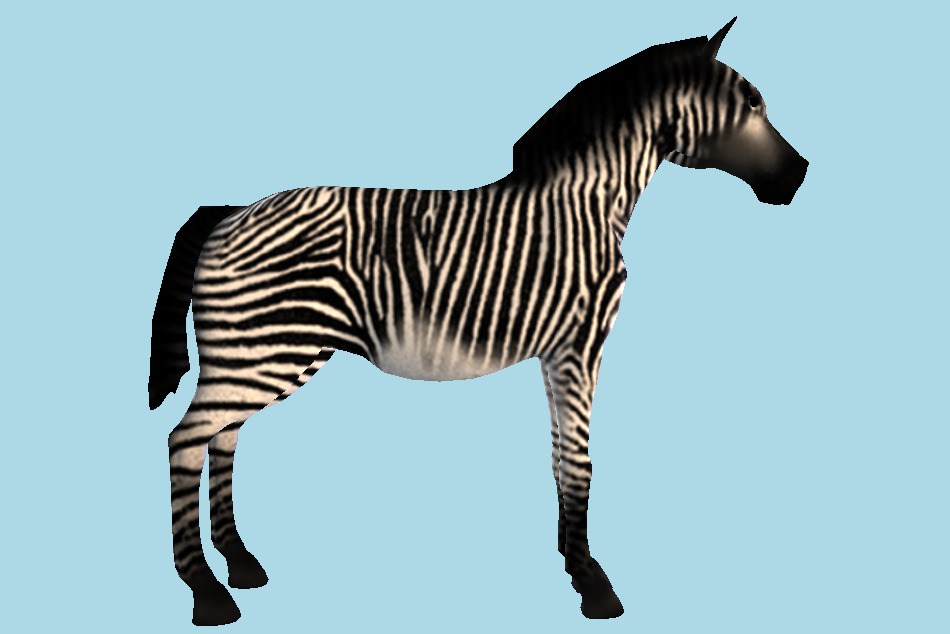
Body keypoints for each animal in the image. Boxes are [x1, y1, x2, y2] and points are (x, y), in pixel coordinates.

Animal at [149, 17, 807, 625]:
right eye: (752, 103)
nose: (800, 175)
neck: (588, 202)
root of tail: (233, 210)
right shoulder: (581, 345)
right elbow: (582, 461)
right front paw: (595, 586)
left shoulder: (556, 351)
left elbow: (559, 455)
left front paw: (572, 564)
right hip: (263, 349)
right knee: (186, 439)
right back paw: (208, 593)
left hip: (263, 351)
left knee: (223, 436)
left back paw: (240, 563)